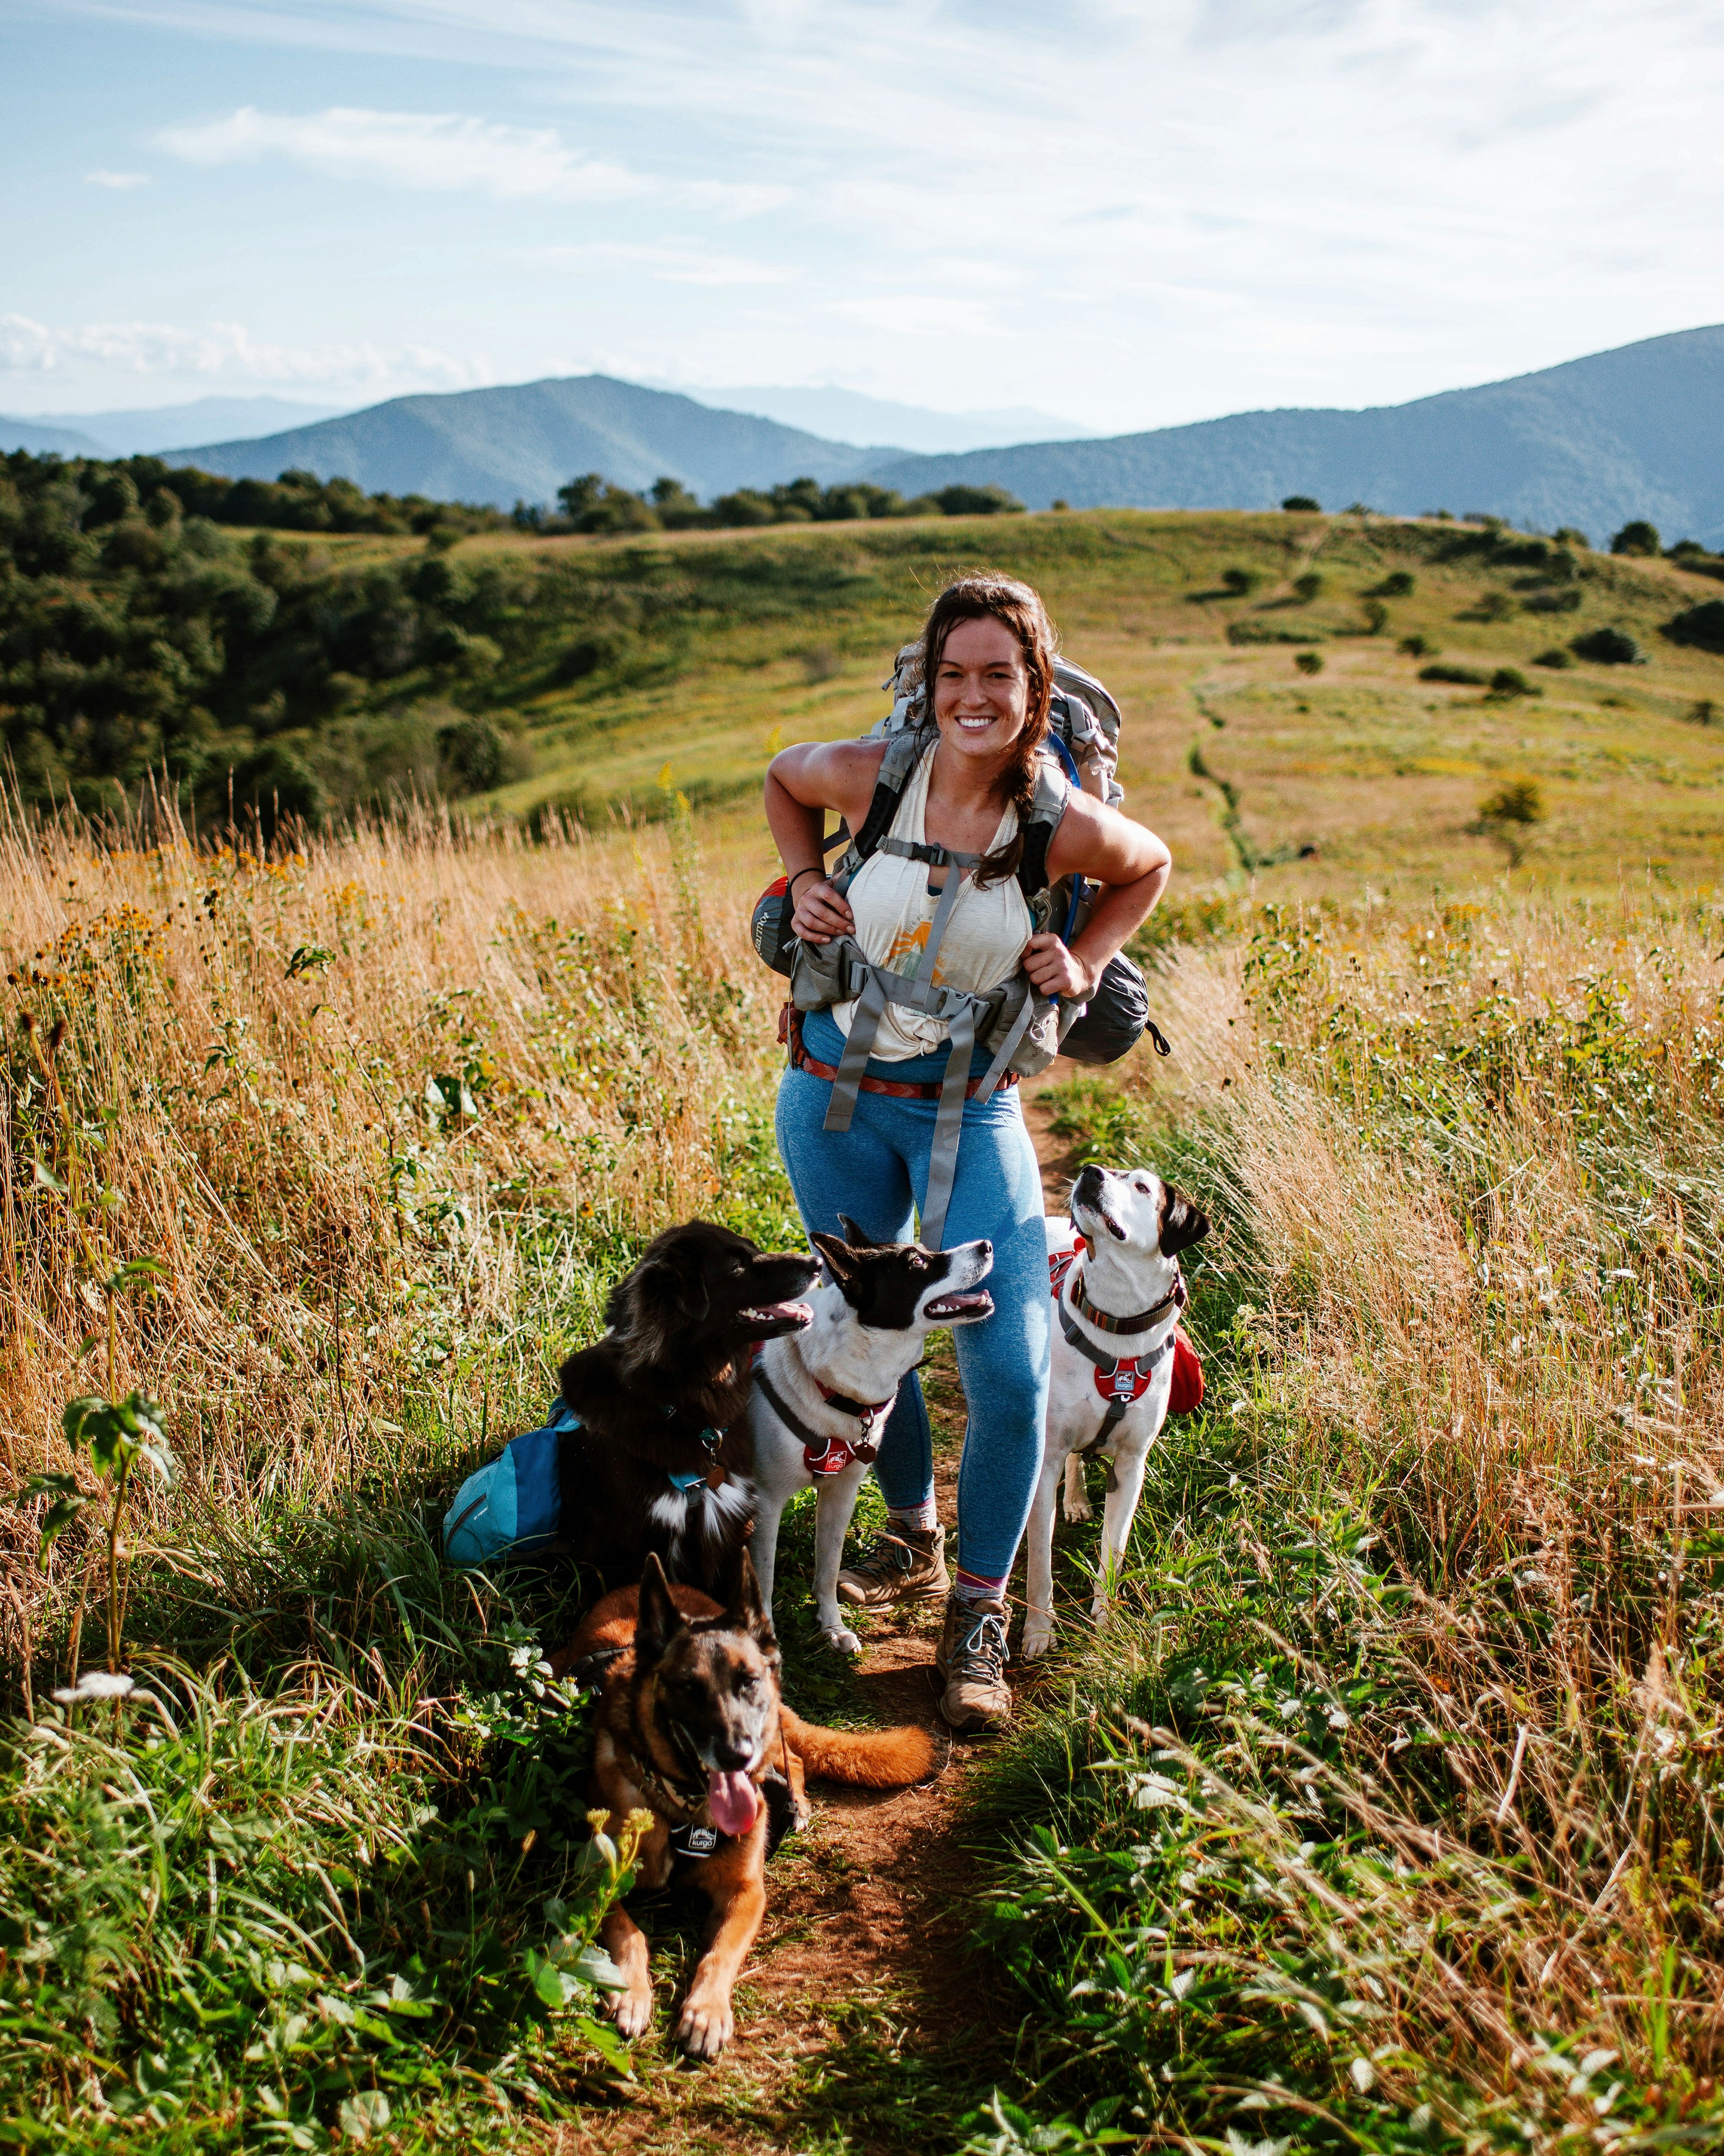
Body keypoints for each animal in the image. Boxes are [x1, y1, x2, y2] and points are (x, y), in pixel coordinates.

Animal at [560, 1552, 935, 2052]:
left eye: (747, 1681)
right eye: (689, 1688)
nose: (736, 1753)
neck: (685, 1810)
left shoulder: (746, 1892)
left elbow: (718, 1954)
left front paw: (706, 2011)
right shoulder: (595, 1881)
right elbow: (628, 1931)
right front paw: (633, 1991)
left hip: (773, 1736)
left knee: (793, 1757)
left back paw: (795, 1804)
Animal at [745, 1224, 995, 1656]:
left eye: (925, 1249)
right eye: (917, 1262)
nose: (988, 1244)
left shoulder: (841, 1494)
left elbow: (827, 1568)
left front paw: (832, 1627)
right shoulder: (768, 1501)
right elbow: (764, 1579)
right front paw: (766, 1643)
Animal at [1025, 1173, 1215, 1656]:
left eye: (1143, 1187)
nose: (1091, 1171)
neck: (1119, 1315)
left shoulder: (1131, 1467)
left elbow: (1114, 1550)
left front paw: (1106, 1618)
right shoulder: (1047, 1458)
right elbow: (1039, 1558)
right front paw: (1038, 1628)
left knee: (1079, 1459)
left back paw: (1076, 1499)